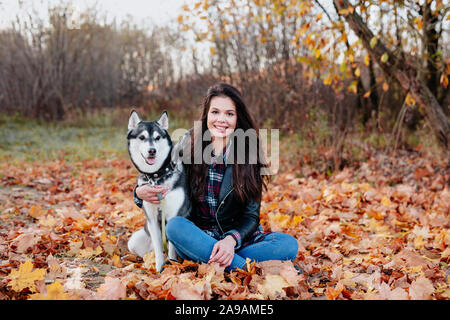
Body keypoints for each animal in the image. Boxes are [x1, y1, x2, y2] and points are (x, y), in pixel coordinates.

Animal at [125, 110, 191, 272]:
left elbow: (172, 248)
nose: (152, 151)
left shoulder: (174, 215)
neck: (157, 176)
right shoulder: (152, 219)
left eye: (157, 137)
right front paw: (160, 268)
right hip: (134, 240)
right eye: (142, 137)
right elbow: (159, 249)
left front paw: (172, 265)